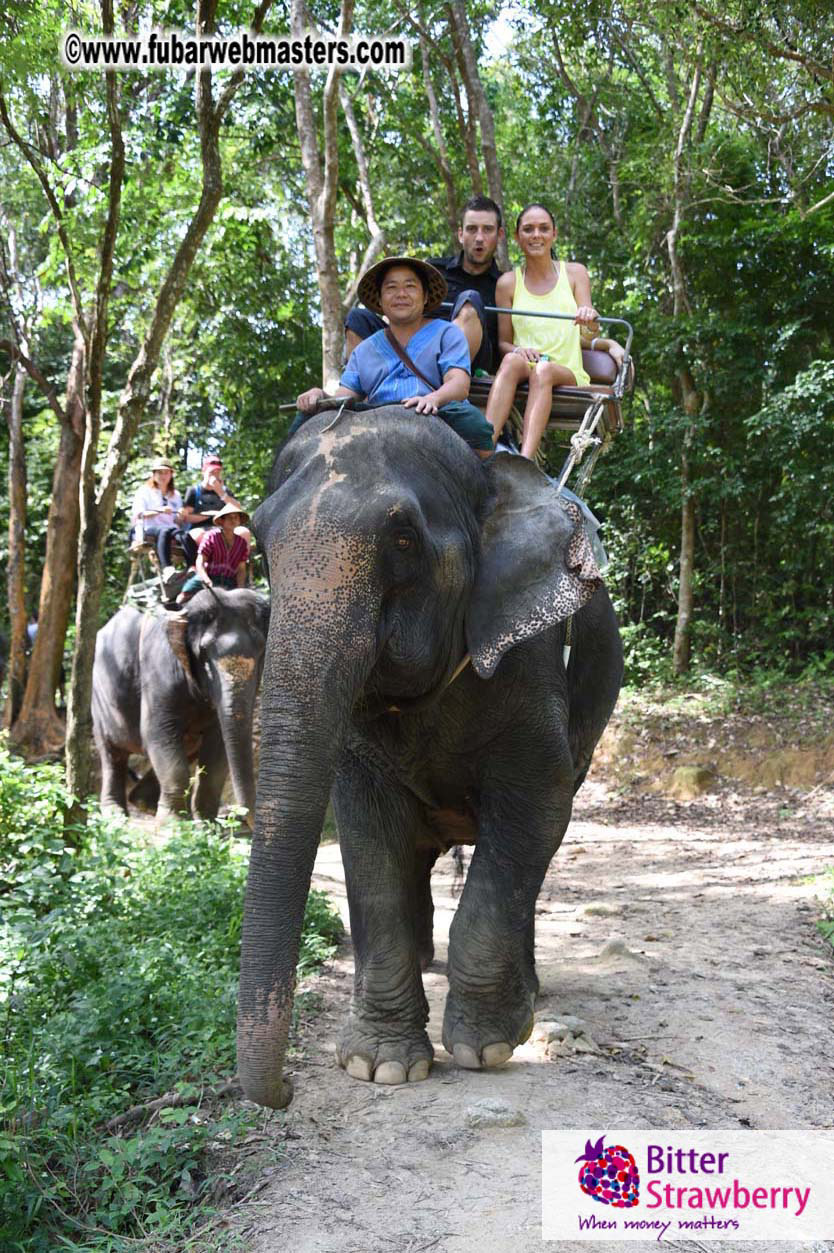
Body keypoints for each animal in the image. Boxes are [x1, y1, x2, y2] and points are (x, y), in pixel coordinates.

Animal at [92, 587, 269, 824]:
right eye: (204, 654)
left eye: (261, 652)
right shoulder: (159, 669)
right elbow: (157, 732)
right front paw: (172, 824)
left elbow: (218, 745)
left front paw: (206, 824)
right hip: (98, 697)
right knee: (113, 754)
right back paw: (116, 815)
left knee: (184, 748)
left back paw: (144, 803)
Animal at [237, 405, 623, 1109]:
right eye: (259, 541)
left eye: (404, 540)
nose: (286, 1091)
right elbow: (366, 836)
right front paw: (382, 1066)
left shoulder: (531, 662)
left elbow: (538, 807)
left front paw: (487, 1047)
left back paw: (528, 994)